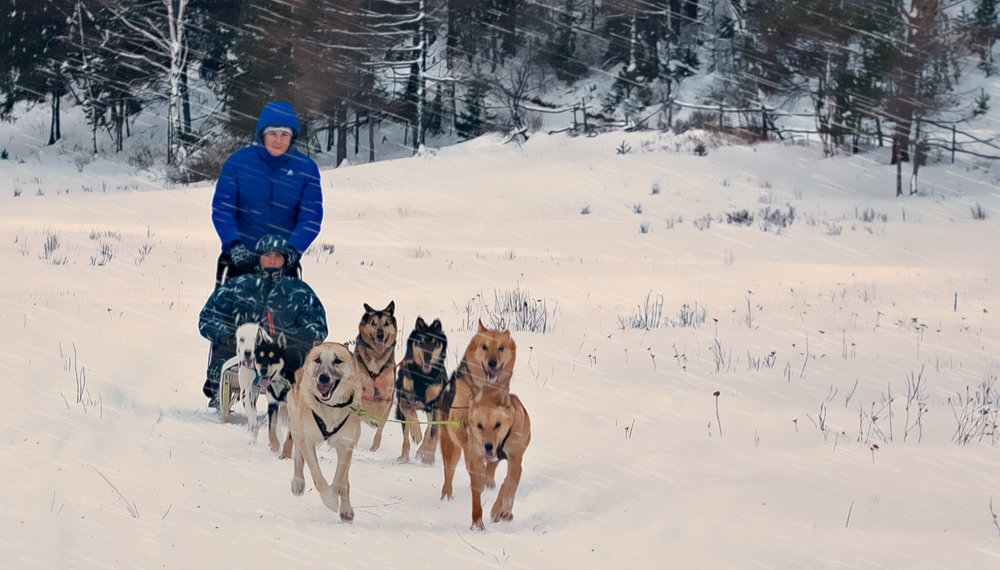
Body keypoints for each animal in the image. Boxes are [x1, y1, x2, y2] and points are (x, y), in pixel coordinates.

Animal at [286, 342, 364, 520]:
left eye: (338, 361)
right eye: (317, 360)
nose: (323, 377)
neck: (331, 407)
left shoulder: (346, 446)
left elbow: (339, 478)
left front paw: (335, 499)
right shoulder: (307, 440)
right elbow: (317, 475)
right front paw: (329, 500)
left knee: (345, 480)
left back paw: (346, 509)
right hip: (296, 425)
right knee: (298, 455)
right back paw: (298, 483)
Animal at [394, 316, 450, 462]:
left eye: (435, 344)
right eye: (421, 342)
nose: (428, 358)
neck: (422, 376)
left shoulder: (436, 404)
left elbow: (434, 432)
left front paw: (429, 456)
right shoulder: (404, 397)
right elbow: (409, 414)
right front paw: (416, 434)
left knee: (431, 428)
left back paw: (424, 451)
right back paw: (405, 456)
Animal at [442, 320, 520, 528]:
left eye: (501, 348)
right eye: (484, 347)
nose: (492, 362)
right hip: (450, 447)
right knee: (449, 472)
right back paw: (446, 496)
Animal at [468, 386, 532, 528]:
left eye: (498, 424)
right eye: (479, 425)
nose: (488, 446)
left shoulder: (515, 462)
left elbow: (509, 486)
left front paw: (504, 512)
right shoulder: (475, 457)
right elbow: (476, 490)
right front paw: (477, 520)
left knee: (505, 482)